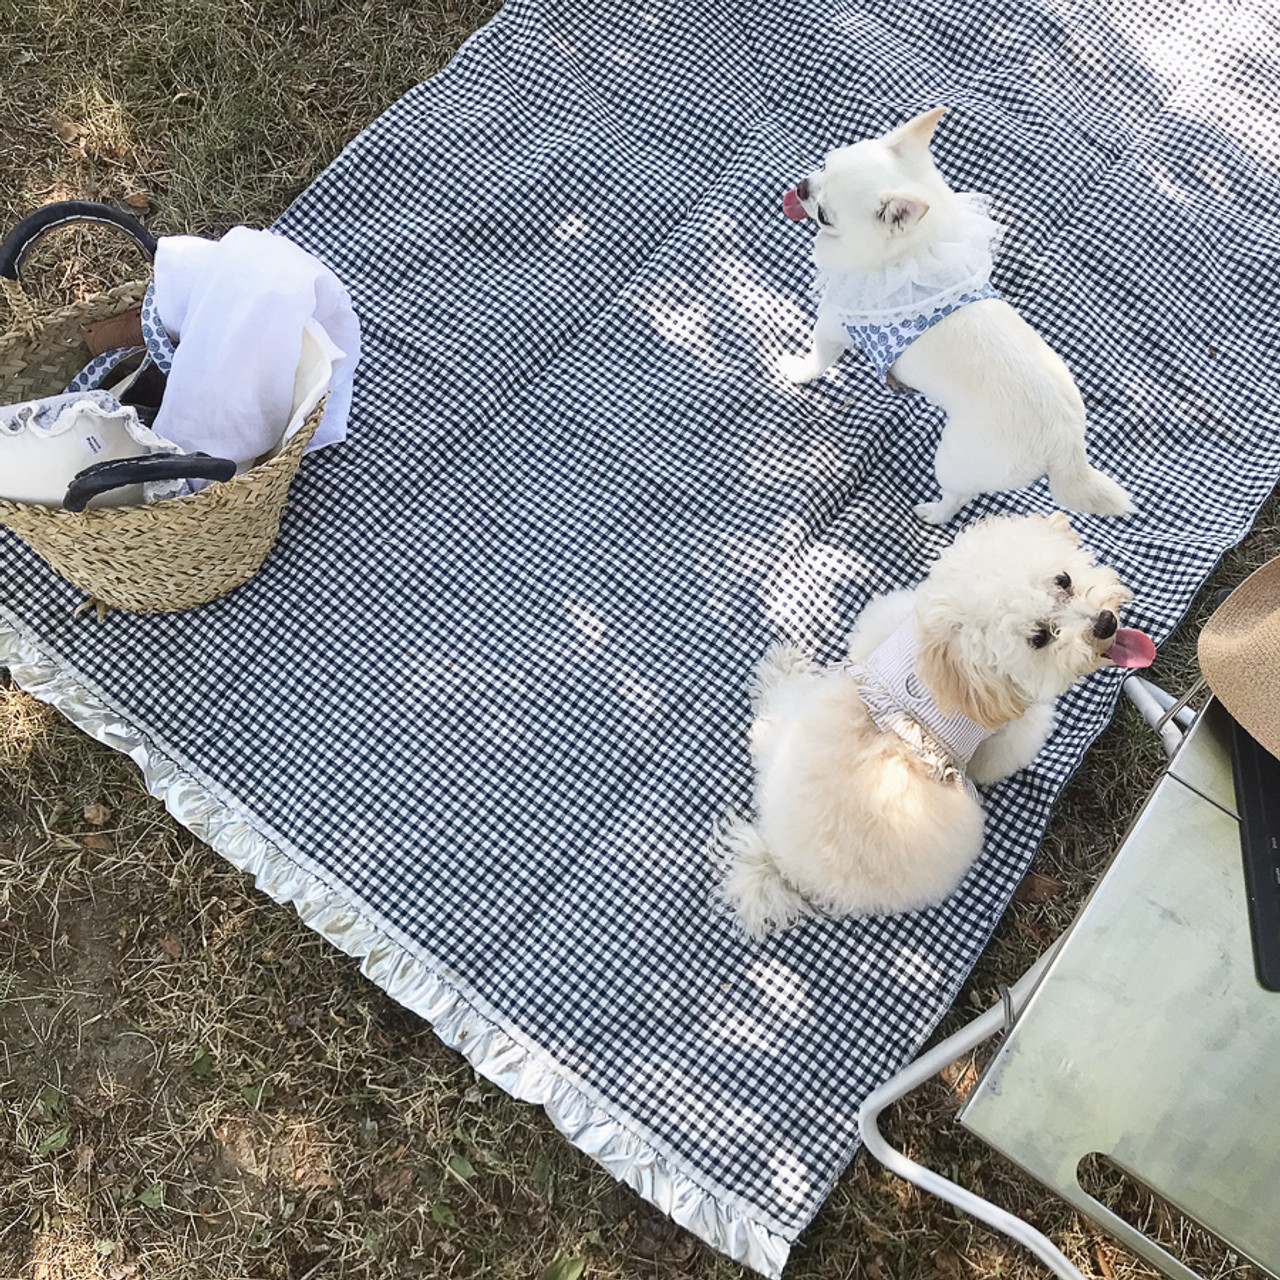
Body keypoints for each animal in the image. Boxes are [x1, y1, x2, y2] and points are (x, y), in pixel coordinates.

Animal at [721, 509, 1152, 942]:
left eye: (1062, 579)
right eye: (1039, 637)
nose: (1104, 623)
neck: (950, 659)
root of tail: (785, 867)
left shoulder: (892, 622)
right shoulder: (1008, 732)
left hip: (789, 722)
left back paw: (780, 672)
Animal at [778, 108, 1131, 524]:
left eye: (825, 215)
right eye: (824, 164)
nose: (802, 187)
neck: (917, 250)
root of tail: (1068, 447)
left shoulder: (834, 326)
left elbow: (817, 357)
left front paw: (797, 371)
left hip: (958, 459)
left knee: (958, 496)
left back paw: (933, 512)